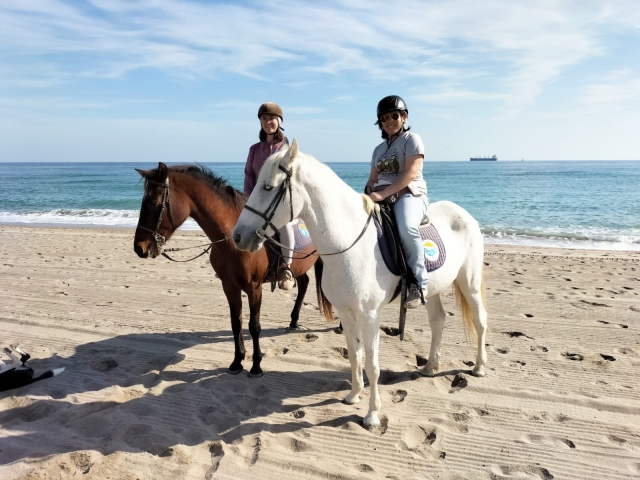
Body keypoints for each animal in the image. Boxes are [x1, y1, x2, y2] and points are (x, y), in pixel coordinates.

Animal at [133, 162, 319, 377]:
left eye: (153, 201)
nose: (139, 248)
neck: (232, 240)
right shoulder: (229, 286)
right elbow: (236, 323)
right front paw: (237, 361)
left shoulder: (254, 288)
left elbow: (254, 326)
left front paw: (256, 366)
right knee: (304, 284)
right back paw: (293, 322)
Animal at [231, 140, 488, 427]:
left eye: (268, 187)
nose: (238, 236)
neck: (348, 243)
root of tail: (463, 213)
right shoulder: (346, 312)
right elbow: (355, 356)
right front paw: (353, 395)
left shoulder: (369, 315)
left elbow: (372, 365)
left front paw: (372, 414)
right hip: (431, 289)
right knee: (438, 321)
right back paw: (431, 366)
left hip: (469, 282)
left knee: (480, 320)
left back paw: (479, 367)